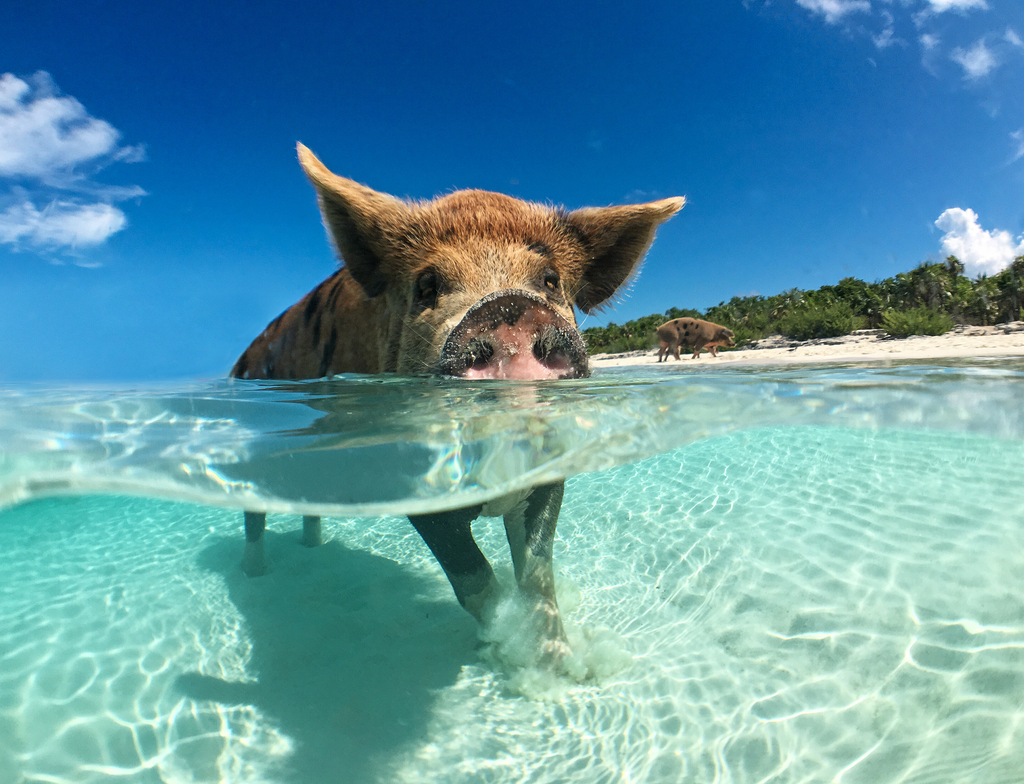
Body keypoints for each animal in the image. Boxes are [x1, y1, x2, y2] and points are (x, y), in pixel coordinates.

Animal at [230, 143, 684, 663]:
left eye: (550, 280)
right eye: (427, 285)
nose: (508, 307)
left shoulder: (550, 470)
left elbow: (538, 576)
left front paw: (563, 667)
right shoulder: (411, 479)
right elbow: (473, 579)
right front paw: (505, 652)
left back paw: (312, 551)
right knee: (253, 514)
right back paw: (254, 574)